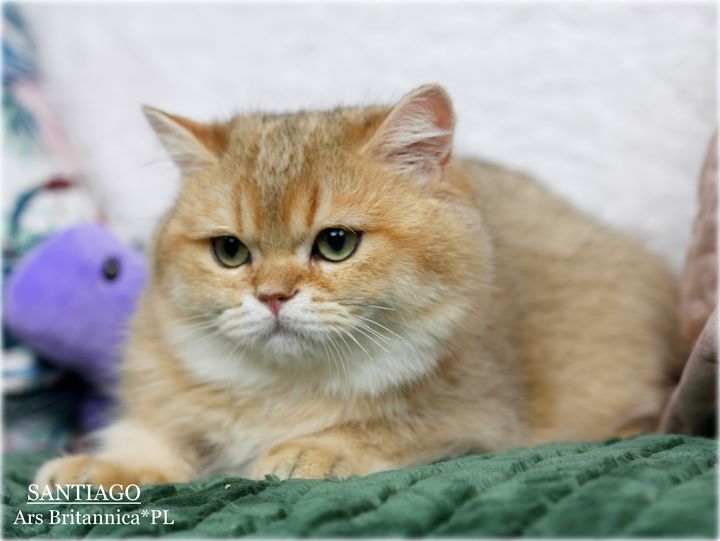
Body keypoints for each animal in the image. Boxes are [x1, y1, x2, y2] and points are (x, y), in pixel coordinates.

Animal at [36, 84, 685, 486]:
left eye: (336, 243)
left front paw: (315, 448)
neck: (285, 386)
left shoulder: (478, 419)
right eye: (230, 251)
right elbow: (154, 441)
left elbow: (384, 429)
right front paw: (101, 466)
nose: (272, 296)